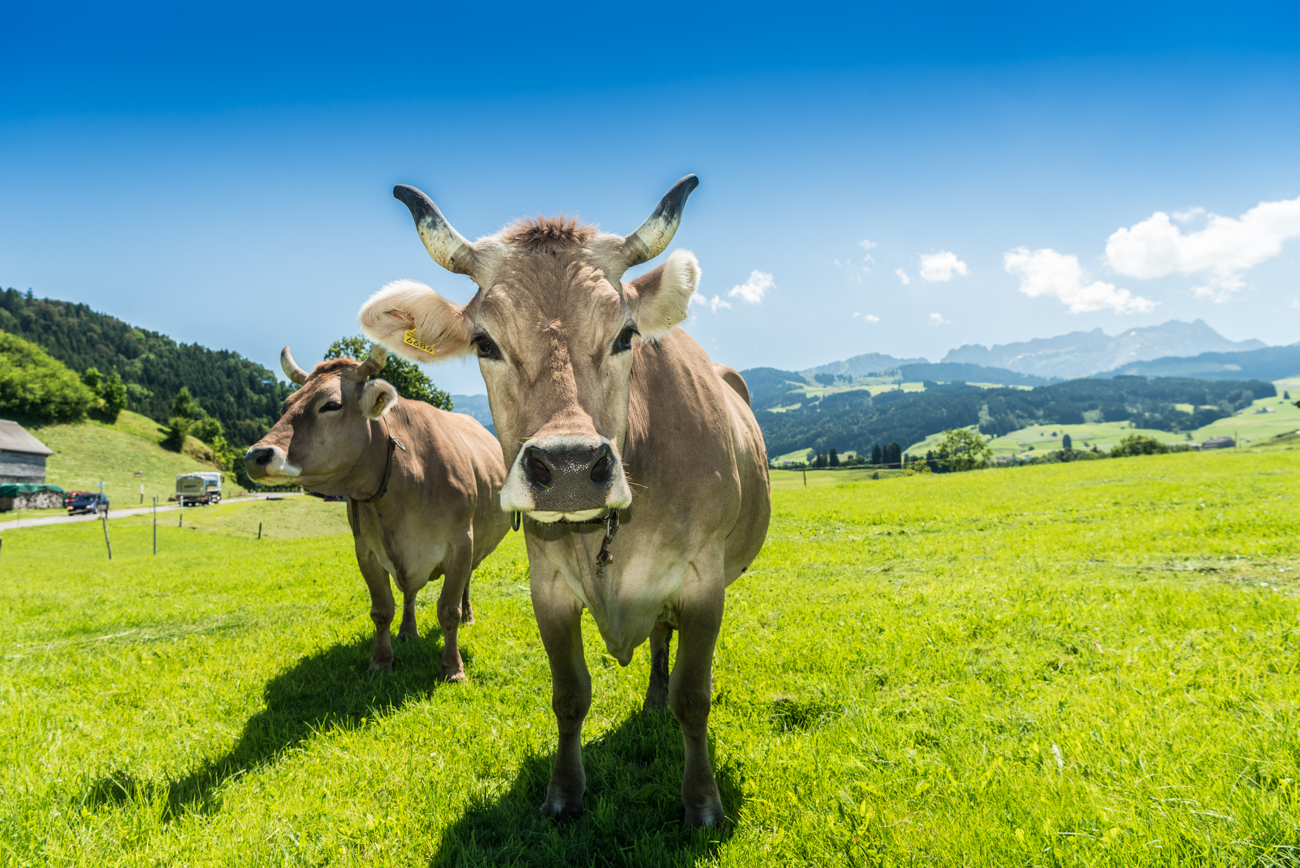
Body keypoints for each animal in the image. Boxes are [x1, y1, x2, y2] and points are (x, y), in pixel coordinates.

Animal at [244, 345, 511, 681]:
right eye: (286, 405)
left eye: (331, 405)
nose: (255, 456)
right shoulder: (366, 550)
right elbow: (382, 610)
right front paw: (381, 662)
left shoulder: (461, 543)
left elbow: (449, 610)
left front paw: (453, 668)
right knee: (409, 593)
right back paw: (408, 632)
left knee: (464, 585)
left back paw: (468, 619)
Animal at [356, 175, 770, 826]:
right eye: (485, 343)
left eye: (626, 335)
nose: (572, 467)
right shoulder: (546, 584)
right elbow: (570, 695)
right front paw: (562, 794)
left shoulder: (704, 581)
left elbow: (695, 696)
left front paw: (702, 803)